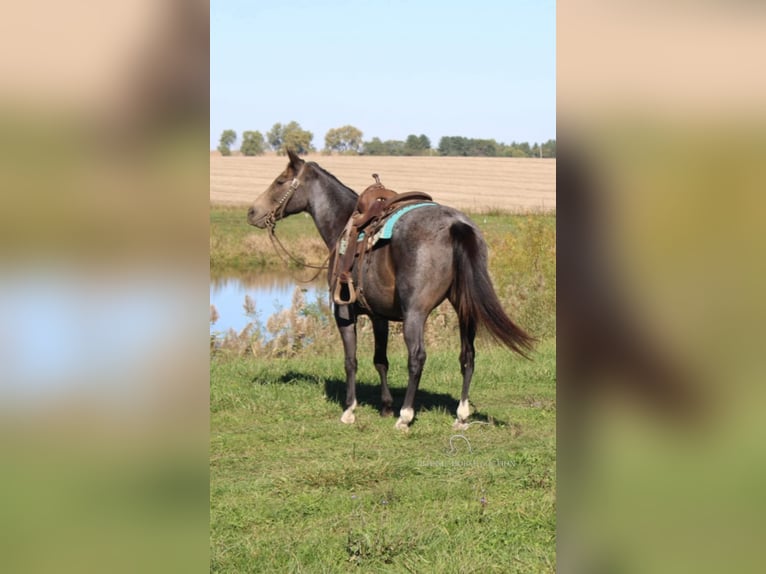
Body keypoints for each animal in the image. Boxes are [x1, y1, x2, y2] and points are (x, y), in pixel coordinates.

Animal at [248, 151, 536, 430]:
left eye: (280, 181)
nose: (252, 212)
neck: (343, 225)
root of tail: (457, 225)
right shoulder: (379, 316)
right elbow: (380, 360)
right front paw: (385, 406)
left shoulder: (344, 312)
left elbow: (351, 361)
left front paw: (350, 410)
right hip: (465, 307)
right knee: (468, 355)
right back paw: (461, 414)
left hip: (415, 312)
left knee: (417, 357)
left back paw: (405, 416)